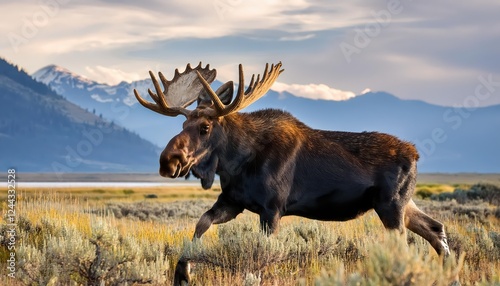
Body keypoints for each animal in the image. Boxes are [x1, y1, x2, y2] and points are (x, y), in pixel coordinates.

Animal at [133, 62, 450, 284]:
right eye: (182, 125)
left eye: (205, 127)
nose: (168, 161)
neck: (236, 162)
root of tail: (416, 154)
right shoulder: (232, 202)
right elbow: (200, 225)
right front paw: (183, 273)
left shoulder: (272, 209)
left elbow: (260, 257)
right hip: (402, 204)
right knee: (436, 229)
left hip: (391, 206)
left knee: (408, 244)